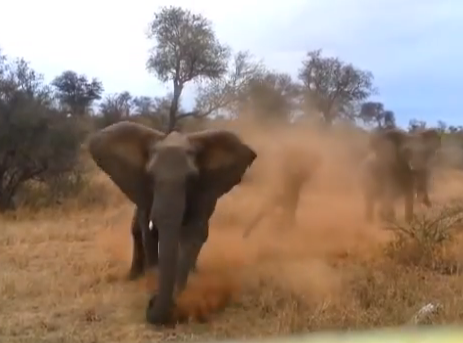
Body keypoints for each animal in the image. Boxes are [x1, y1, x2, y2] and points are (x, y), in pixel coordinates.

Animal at [88, 121, 258, 326]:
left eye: (192, 179)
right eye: (150, 176)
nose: (152, 302)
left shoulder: (204, 193)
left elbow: (192, 235)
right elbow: (148, 233)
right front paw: (152, 280)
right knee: (136, 230)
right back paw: (134, 276)